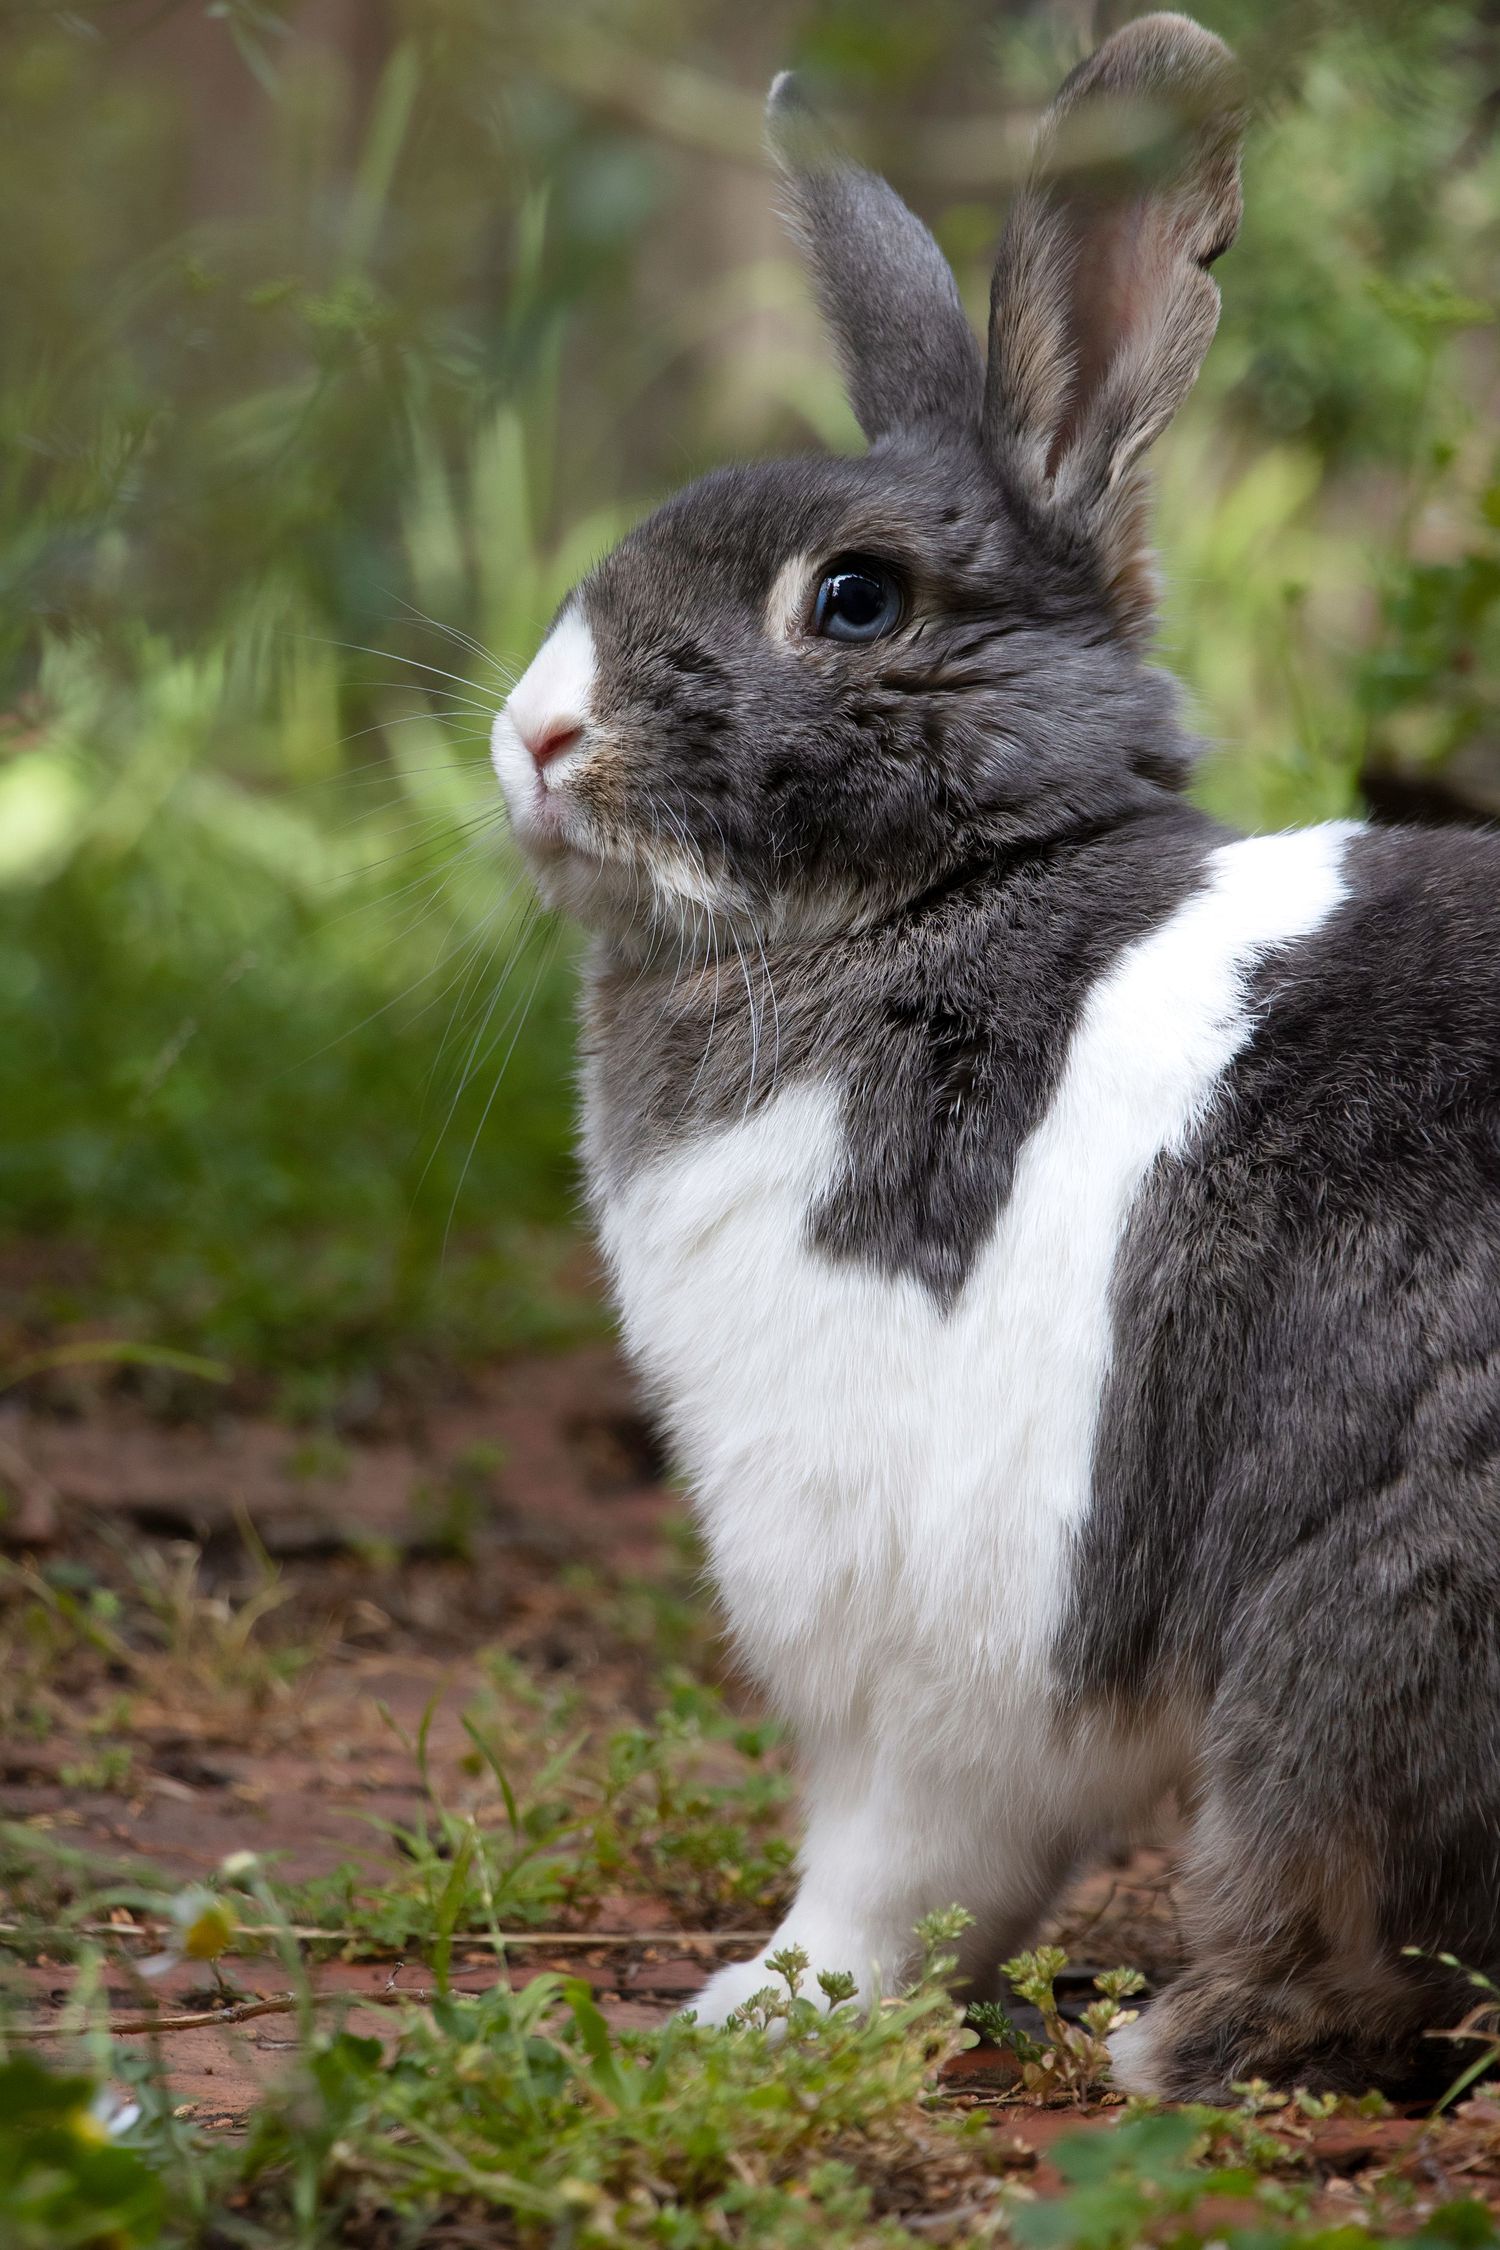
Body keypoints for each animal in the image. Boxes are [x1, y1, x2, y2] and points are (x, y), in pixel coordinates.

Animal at [489, 11, 1500, 2103]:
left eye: (854, 597)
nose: (534, 738)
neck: (931, 908)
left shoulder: (951, 1624)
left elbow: (901, 1863)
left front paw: (762, 2003)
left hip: (1386, 1596)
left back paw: (1181, 2041)